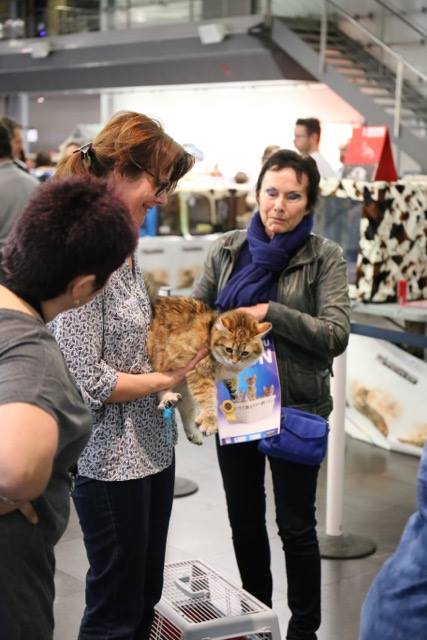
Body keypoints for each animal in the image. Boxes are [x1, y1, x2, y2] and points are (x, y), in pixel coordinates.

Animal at [147, 295, 271, 445]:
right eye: (229, 349)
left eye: (245, 353)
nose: (234, 361)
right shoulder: (199, 372)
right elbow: (208, 399)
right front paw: (210, 421)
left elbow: (232, 383)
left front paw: (235, 391)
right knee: (162, 389)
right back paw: (168, 399)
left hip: (185, 390)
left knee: (186, 410)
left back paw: (193, 433)